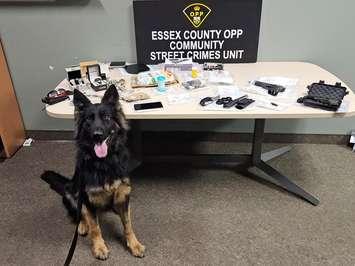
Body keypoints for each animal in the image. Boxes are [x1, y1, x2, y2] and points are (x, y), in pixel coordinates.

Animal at [42, 85, 146, 260]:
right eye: (88, 120)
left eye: (106, 117)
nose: (97, 135)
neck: (104, 162)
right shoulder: (87, 198)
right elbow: (95, 226)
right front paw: (99, 247)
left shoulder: (124, 194)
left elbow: (128, 224)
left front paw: (134, 244)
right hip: (72, 192)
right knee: (80, 214)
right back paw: (83, 225)